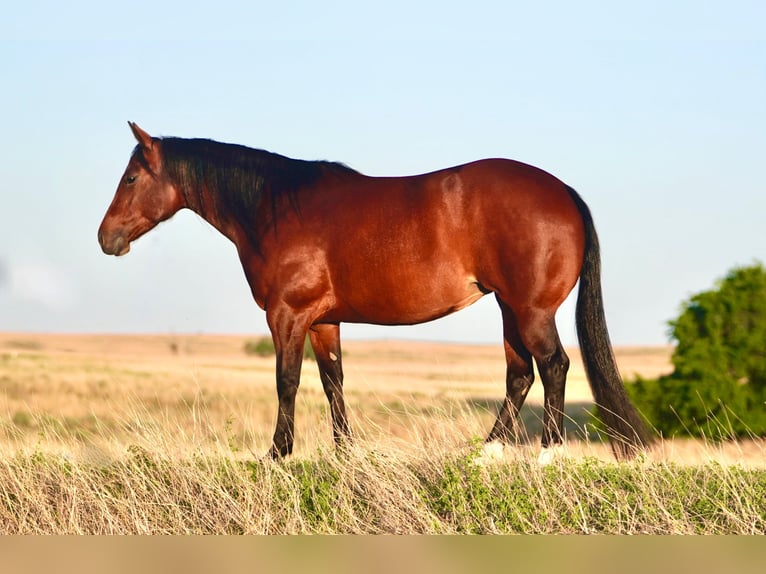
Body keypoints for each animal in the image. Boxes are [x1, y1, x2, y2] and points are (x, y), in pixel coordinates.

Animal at [97, 122, 656, 464]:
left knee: (554, 366)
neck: (275, 208)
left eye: (131, 177)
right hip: (508, 309)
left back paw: (545, 456)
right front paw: (345, 455)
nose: (106, 238)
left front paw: (278, 453)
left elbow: (286, 381)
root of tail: (564, 193)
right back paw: (485, 454)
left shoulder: (287, 315)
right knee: (520, 375)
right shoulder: (324, 320)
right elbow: (333, 382)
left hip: (530, 310)